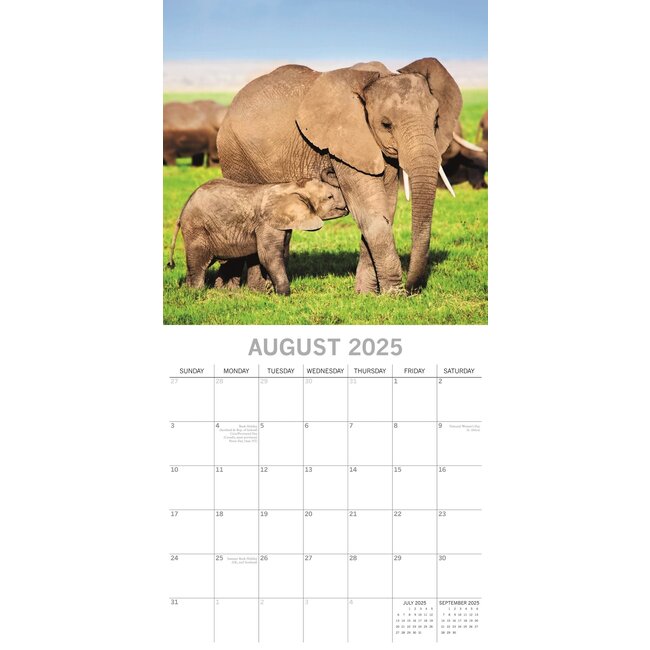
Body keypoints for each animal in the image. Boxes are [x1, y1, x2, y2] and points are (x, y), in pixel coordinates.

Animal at [166, 175, 346, 294]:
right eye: (329, 197)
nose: (346, 208)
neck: (292, 186)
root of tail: (182, 211)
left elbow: (281, 253)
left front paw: (267, 290)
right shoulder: (266, 223)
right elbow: (269, 256)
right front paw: (283, 294)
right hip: (197, 228)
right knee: (199, 261)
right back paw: (196, 292)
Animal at [217, 58, 462, 294]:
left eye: (436, 121)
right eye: (386, 124)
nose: (413, 289)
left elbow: (385, 210)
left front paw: (365, 294)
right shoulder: (344, 143)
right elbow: (371, 213)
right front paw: (394, 295)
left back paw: (256, 290)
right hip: (235, 155)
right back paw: (238, 291)